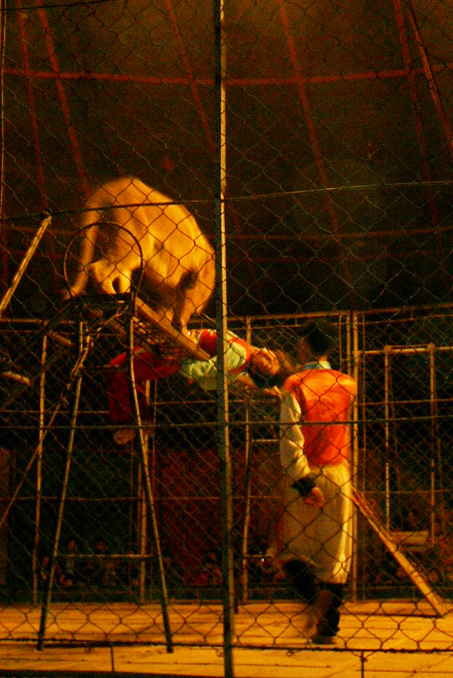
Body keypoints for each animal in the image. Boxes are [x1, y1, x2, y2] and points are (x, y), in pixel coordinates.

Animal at [64, 177, 215, 332]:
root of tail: (106, 190)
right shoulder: (195, 280)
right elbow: (185, 304)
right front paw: (183, 329)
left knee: (122, 279)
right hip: (136, 240)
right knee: (98, 269)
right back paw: (113, 297)